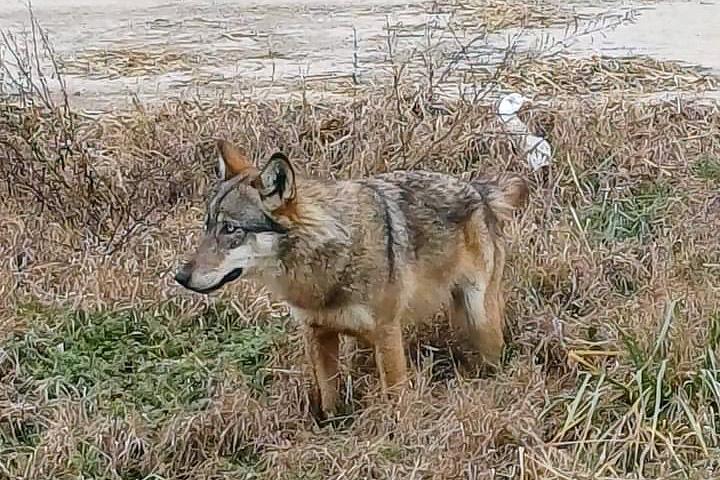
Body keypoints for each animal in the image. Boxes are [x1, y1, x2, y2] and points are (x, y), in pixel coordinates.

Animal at [175, 140, 528, 418]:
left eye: (230, 229)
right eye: (207, 226)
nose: (180, 276)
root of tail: (480, 190)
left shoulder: (387, 332)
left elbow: (395, 397)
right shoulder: (317, 333)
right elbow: (329, 398)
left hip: (480, 317)